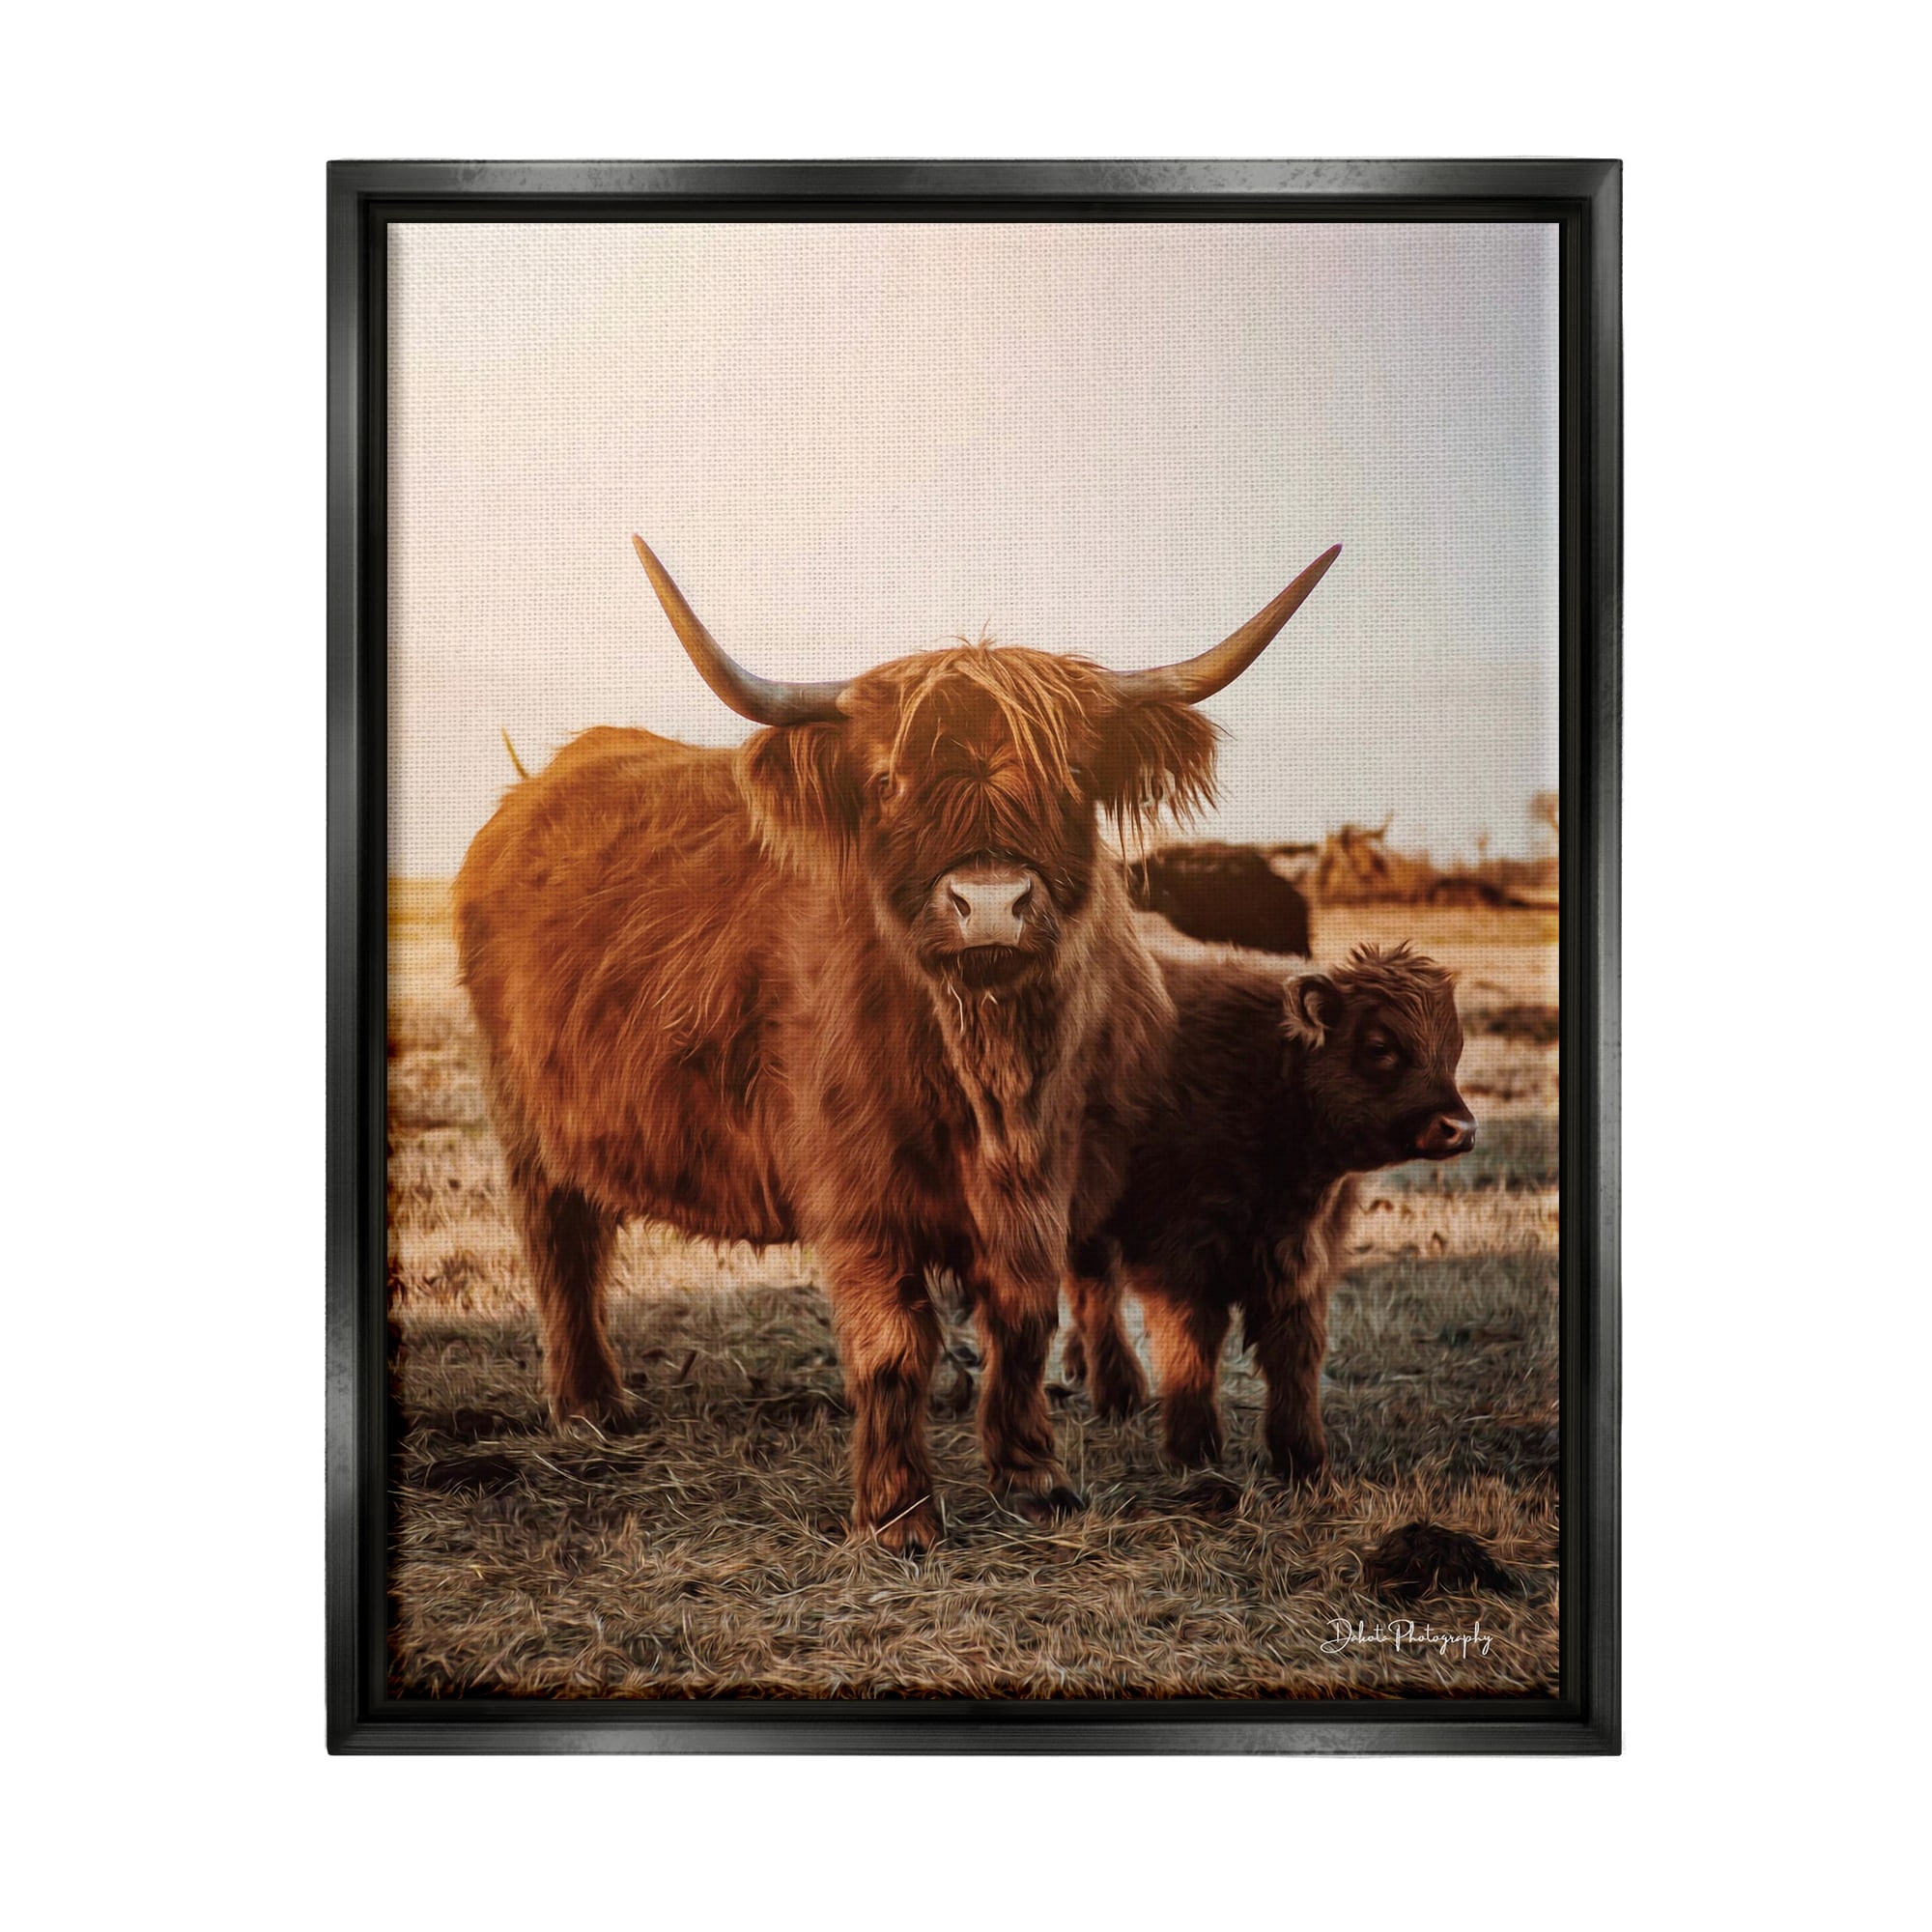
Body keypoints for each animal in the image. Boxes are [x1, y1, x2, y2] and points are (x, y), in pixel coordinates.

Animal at [1063, 942, 1473, 1481]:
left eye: (1454, 1049)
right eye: (1380, 1047)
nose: (1460, 1128)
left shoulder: (1302, 1259)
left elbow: (1295, 1350)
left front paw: (1302, 1456)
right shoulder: (1179, 1256)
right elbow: (1191, 1343)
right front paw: (1195, 1448)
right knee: (1096, 1292)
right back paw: (1118, 1391)